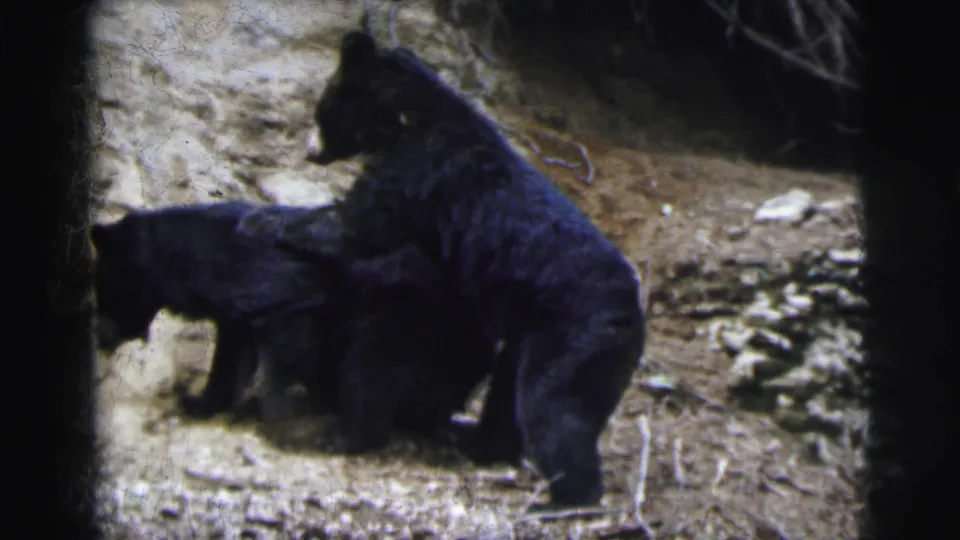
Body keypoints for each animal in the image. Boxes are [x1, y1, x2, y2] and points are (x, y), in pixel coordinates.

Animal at [90, 201, 353, 423]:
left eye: (104, 288)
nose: (102, 337)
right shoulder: (236, 319)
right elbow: (227, 362)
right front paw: (205, 404)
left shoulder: (285, 303)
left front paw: (282, 414)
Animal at [295, 30, 647, 511]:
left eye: (321, 108)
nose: (310, 152)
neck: (406, 121)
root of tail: (634, 316)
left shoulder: (418, 170)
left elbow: (357, 228)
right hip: (529, 337)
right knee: (507, 397)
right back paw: (480, 443)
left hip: (572, 338)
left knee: (552, 409)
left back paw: (562, 498)